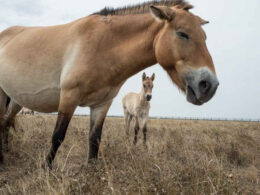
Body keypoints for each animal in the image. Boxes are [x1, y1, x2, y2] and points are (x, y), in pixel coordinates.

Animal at [0, 0, 219, 168]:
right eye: (182, 34)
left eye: (205, 37)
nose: (209, 85)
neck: (103, 46)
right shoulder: (69, 97)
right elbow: (58, 136)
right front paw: (46, 168)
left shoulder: (102, 104)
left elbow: (95, 138)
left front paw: (92, 172)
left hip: (17, 99)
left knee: (5, 121)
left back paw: (5, 153)